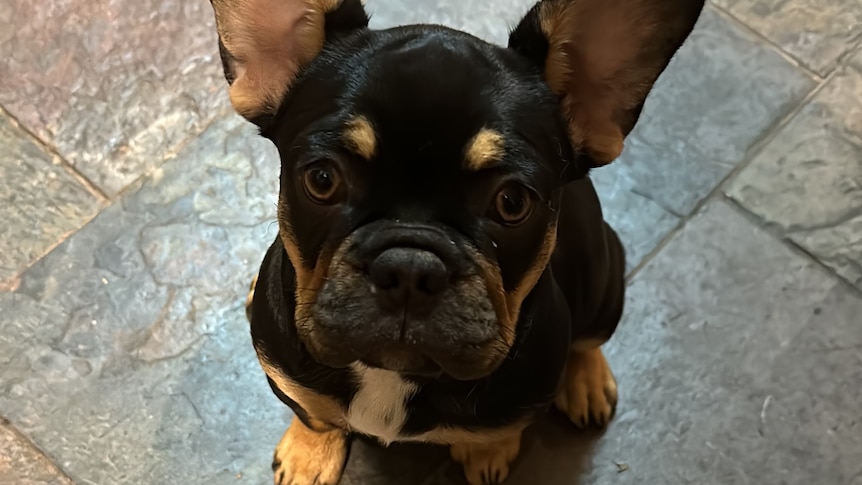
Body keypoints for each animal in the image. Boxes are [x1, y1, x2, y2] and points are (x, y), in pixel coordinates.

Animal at [211, 1, 708, 482]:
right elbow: (314, 414)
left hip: (605, 279)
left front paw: (487, 452)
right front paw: (310, 453)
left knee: (589, 338)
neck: (393, 374)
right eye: (321, 179)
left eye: (512, 202)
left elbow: (497, 432)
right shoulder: (286, 373)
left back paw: (586, 381)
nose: (409, 266)